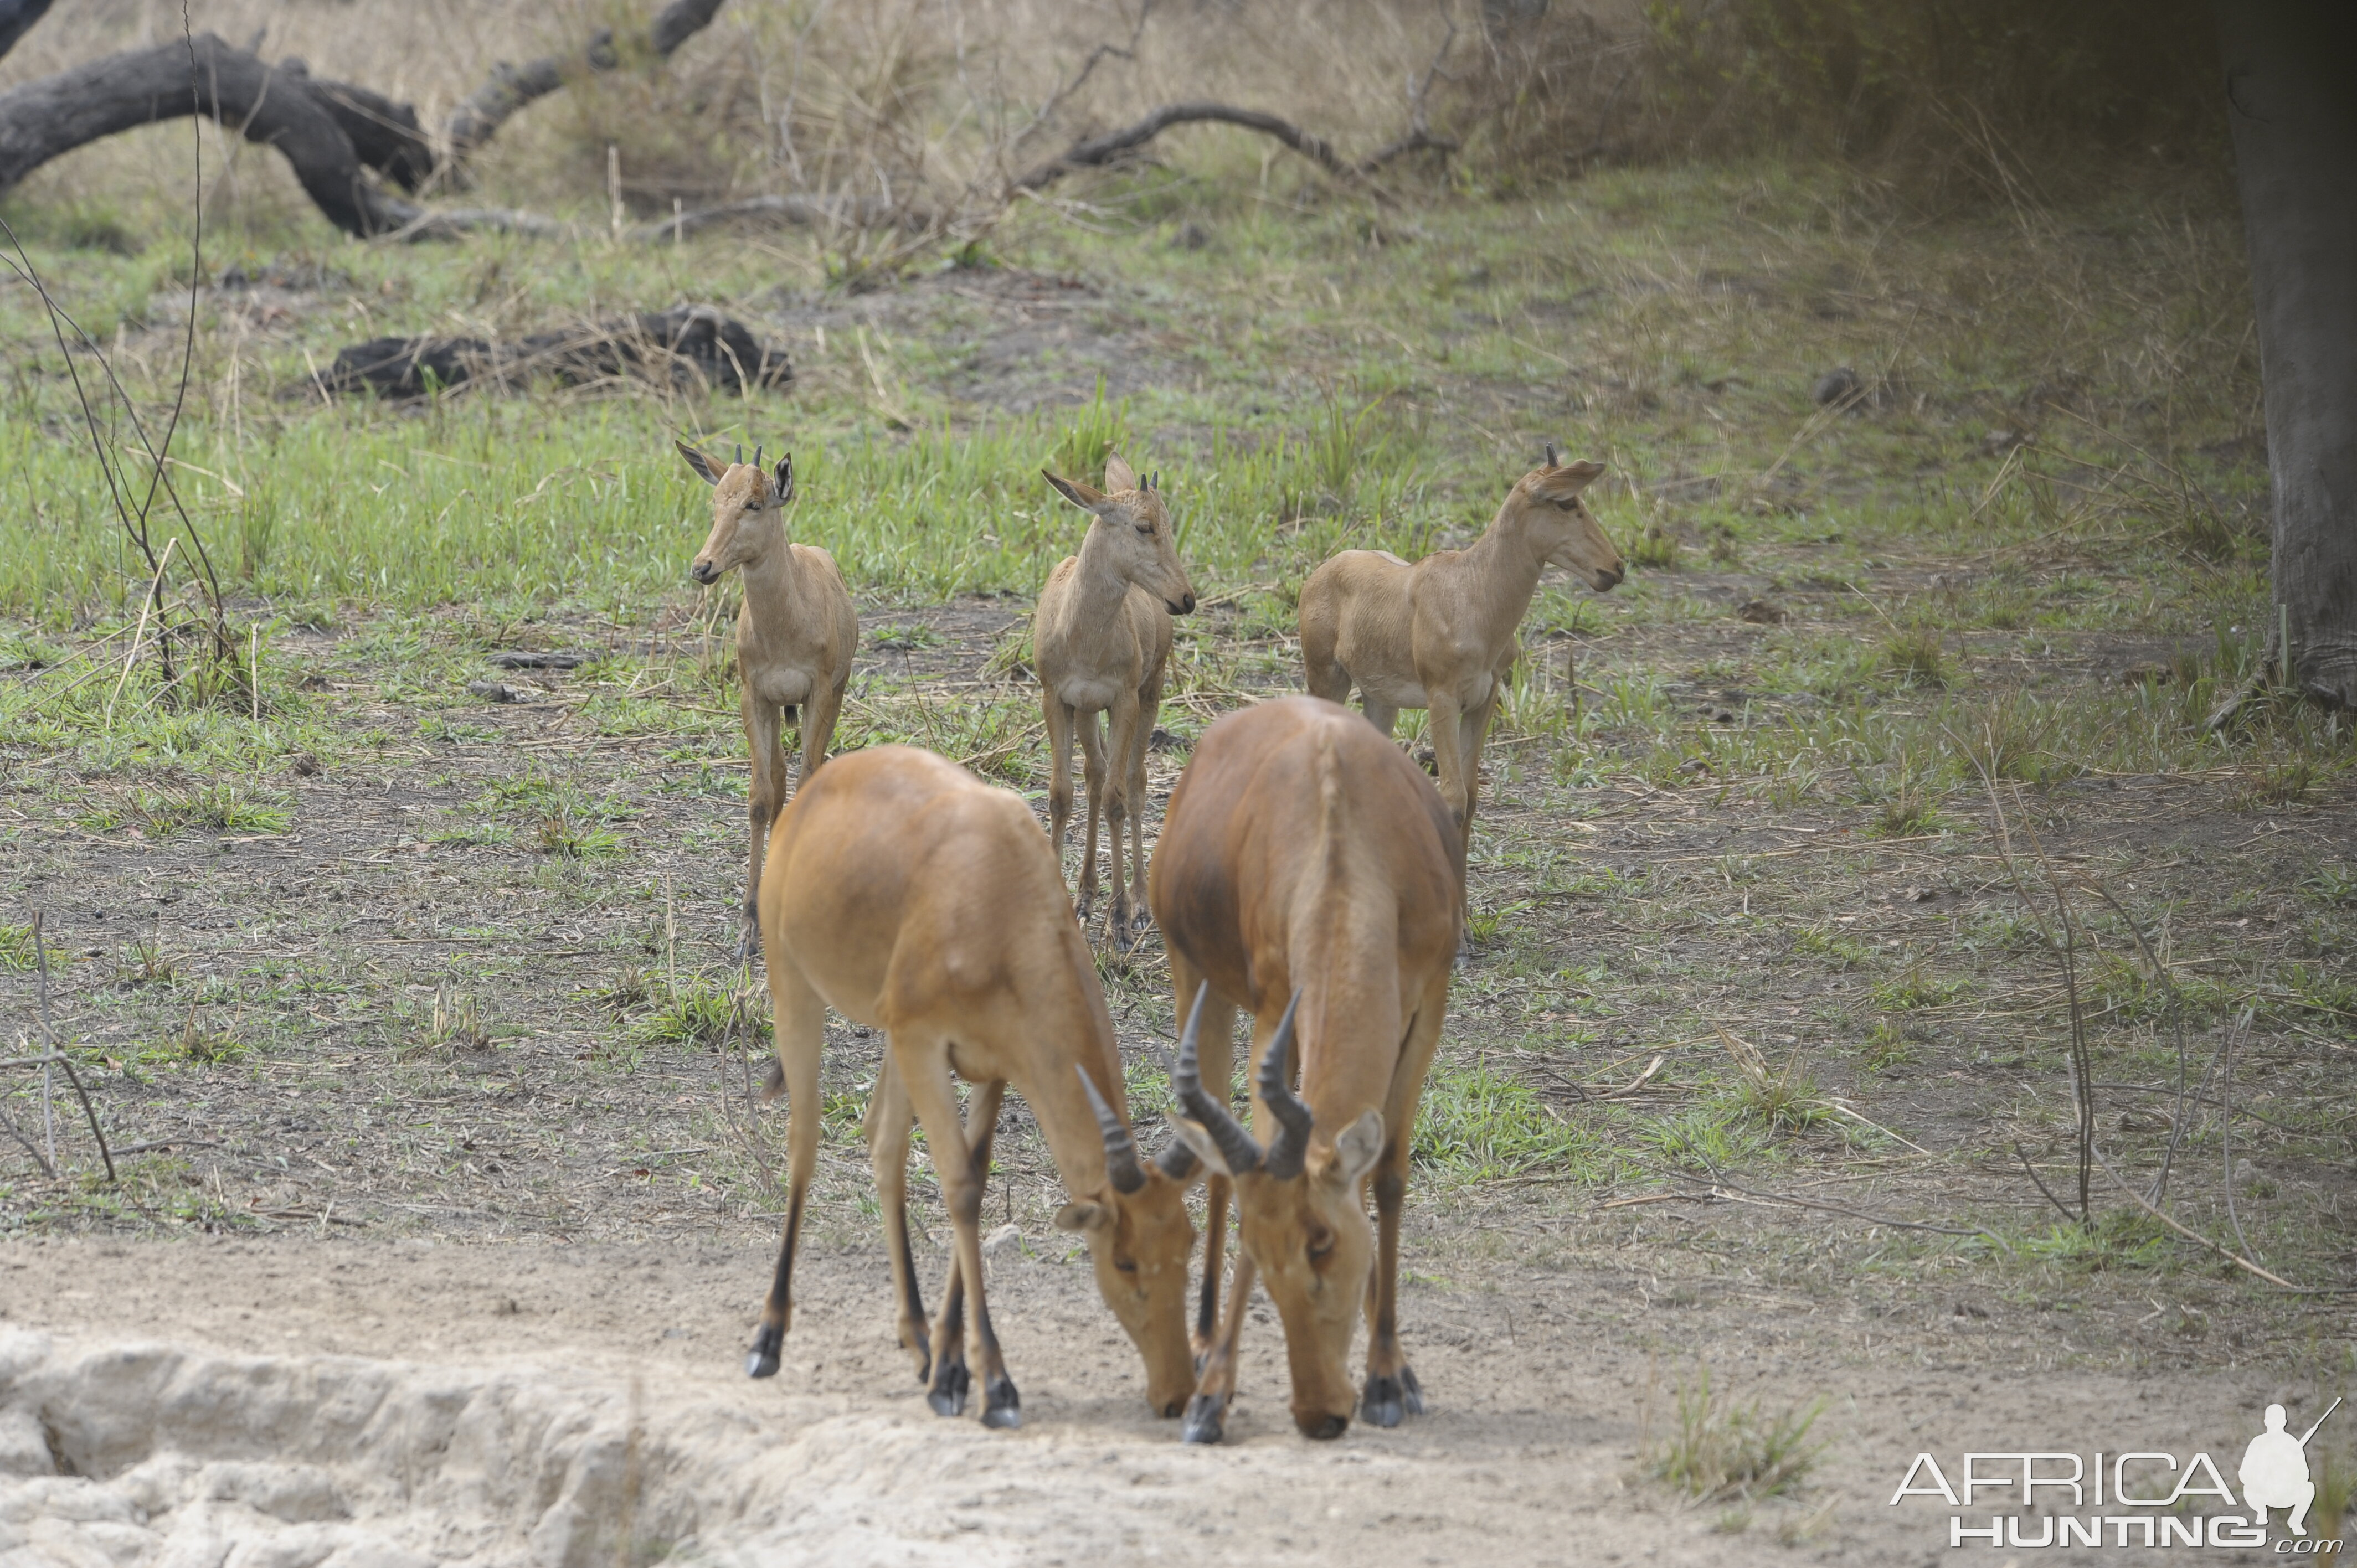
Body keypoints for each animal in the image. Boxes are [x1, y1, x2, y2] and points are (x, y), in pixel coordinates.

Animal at [674, 443, 858, 952]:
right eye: (716, 501)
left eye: (754, 503)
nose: (703, 567)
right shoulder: (754, 698)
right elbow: (761, 797)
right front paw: (748, 928)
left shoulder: (819, 694)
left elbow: (806, 783)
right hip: (778, 710)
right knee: (776, 782)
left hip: (835, 695)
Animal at [749, 740, 1207, 1424]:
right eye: (1123, 1260)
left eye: (1187, 1243)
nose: (1175, 1393)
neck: (995, 884)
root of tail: (820, 786)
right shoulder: (926, 1042)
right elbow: (962, 1189)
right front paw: (992, 1383)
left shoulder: (997, 1065)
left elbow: (977, 1180)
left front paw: (951, 1368)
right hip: (797, 989)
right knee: (804, 1141)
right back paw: (769, 1339)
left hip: (893, 1040)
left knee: (882, 1142)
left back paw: (916, 1340)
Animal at [1037, 450, 1197, 943]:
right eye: (1144, 525)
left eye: (1169, 521)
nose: (1185, 598)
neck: (1083, 632)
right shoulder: (1057, 699)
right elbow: (1061, 793)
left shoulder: (1125, 701)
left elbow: (1117, 798)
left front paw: (1122, 919)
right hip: (1090, 712)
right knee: (1094, 776)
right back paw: (1086, 896)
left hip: (1150, 693)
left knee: (1134, 781)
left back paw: (1141, 904)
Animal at [1150, 698, 1461, 1443]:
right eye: (1261, 1254)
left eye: (1322, 1244)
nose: (1320, 1414)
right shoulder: (1272, 1009)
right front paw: (1210, 1398)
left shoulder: (1425, 1005)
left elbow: (1388, 1175)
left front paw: (1388, 1378)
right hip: (1196, 979)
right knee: (1217, 1165)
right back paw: (1201, 1345)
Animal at [1291, 445, 1622, 849]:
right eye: (1566, 502)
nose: (1615, 568)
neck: (1471, 590)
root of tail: (1320, 573)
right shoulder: (1442, 699)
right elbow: (1453, 799)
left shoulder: (1483, 701)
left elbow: (1472, 794)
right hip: (1326, 678)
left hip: (1380, 700)